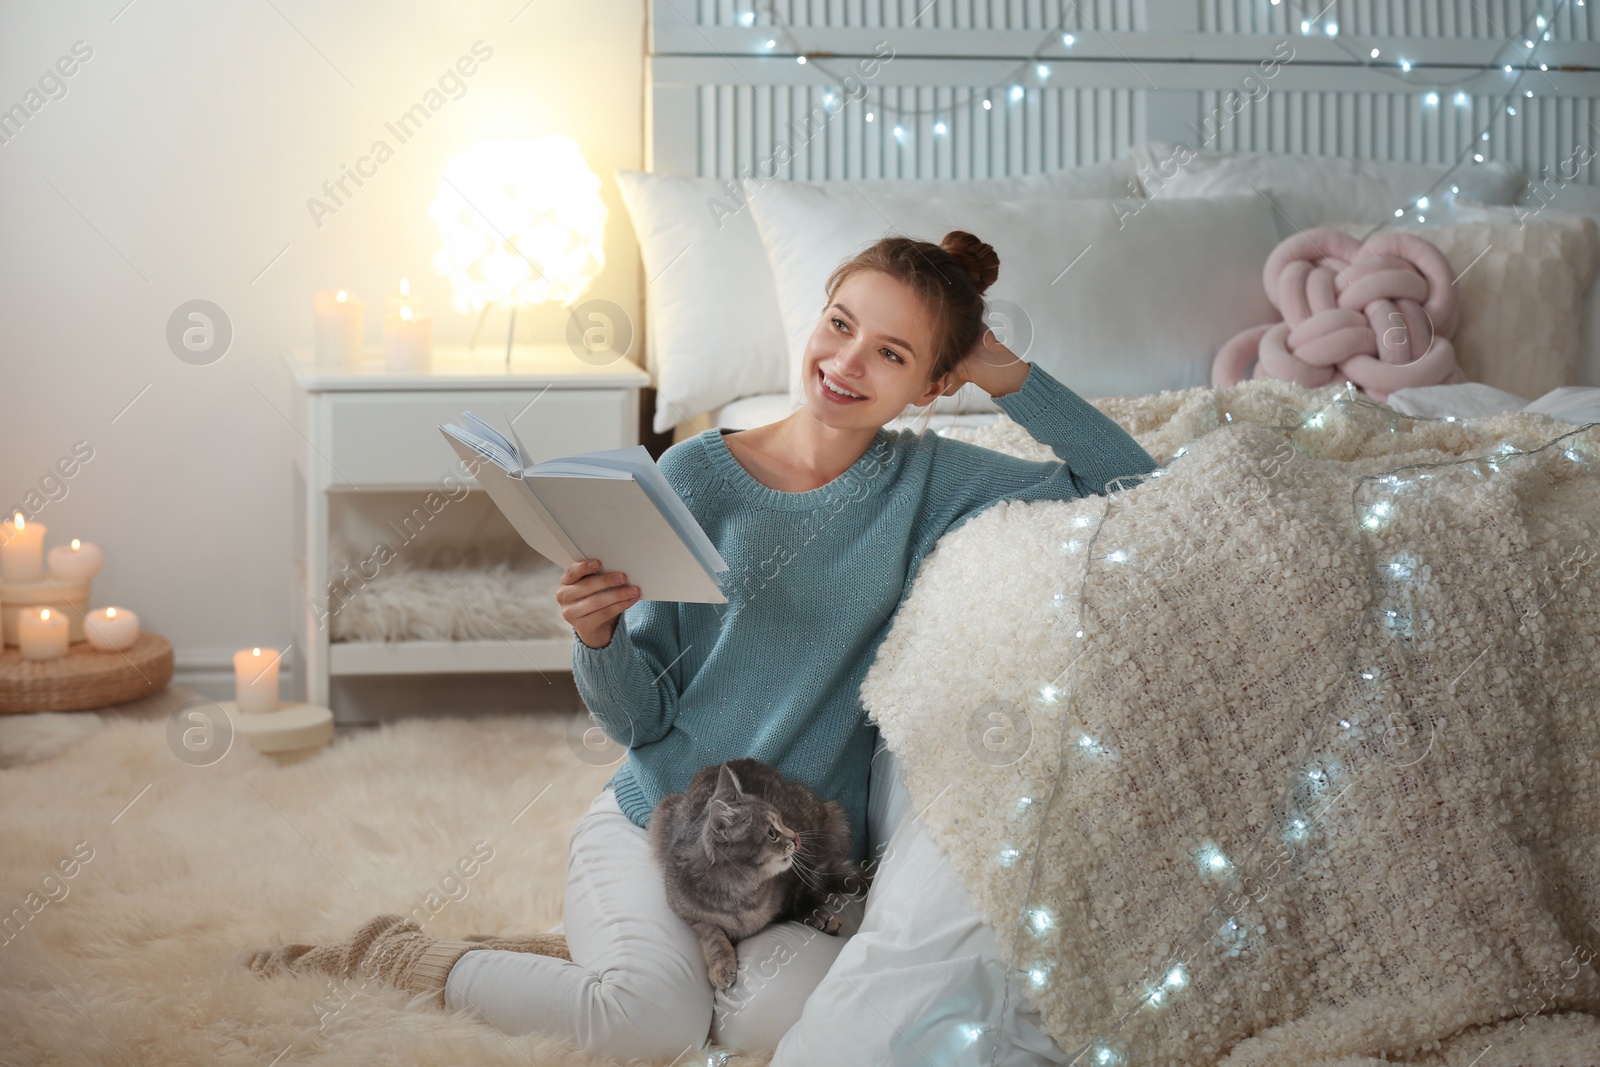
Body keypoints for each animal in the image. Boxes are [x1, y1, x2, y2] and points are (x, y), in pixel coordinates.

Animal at [649, 758, 870, 991]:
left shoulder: (797, 879)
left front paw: (820, 916)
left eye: (783, 820)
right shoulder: (691, 915)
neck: (738, 894)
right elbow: (712, 935)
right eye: (771, 833)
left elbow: (801, 899)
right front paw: (721, 966)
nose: (796, 837)